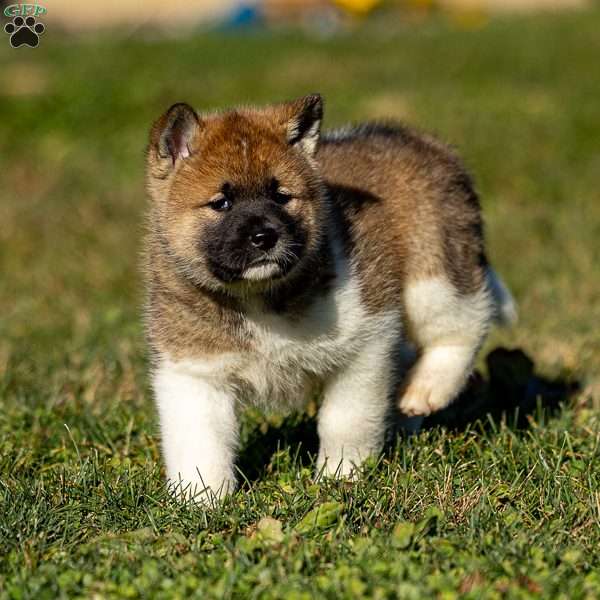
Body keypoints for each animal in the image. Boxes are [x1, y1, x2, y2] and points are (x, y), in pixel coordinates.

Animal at [144, 94, 516, 502]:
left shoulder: (365, 343)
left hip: (433, 275)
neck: (256, 296)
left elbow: (345, 419)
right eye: (221, 203)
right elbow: (201, 443)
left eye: (281, 197)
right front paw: (201, 500)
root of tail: (428, 144)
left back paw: (428, 388)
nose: (265, 236)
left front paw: (340, 475)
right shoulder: (194, 372)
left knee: (466, 321)